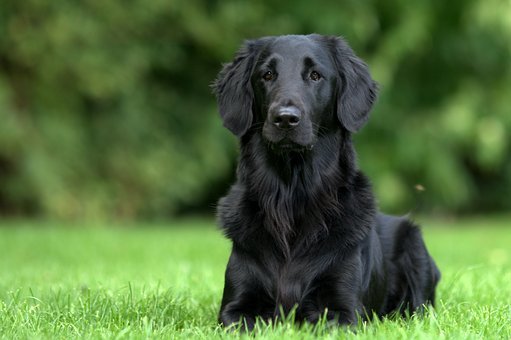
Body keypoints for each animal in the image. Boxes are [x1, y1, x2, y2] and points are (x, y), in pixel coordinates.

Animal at [212, 34, 440, 330]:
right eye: (267, 75)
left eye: (315, 75)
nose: (285, 118)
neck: (291, 196)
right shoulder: (235, 308)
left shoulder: (344, 311)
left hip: (415, 249)